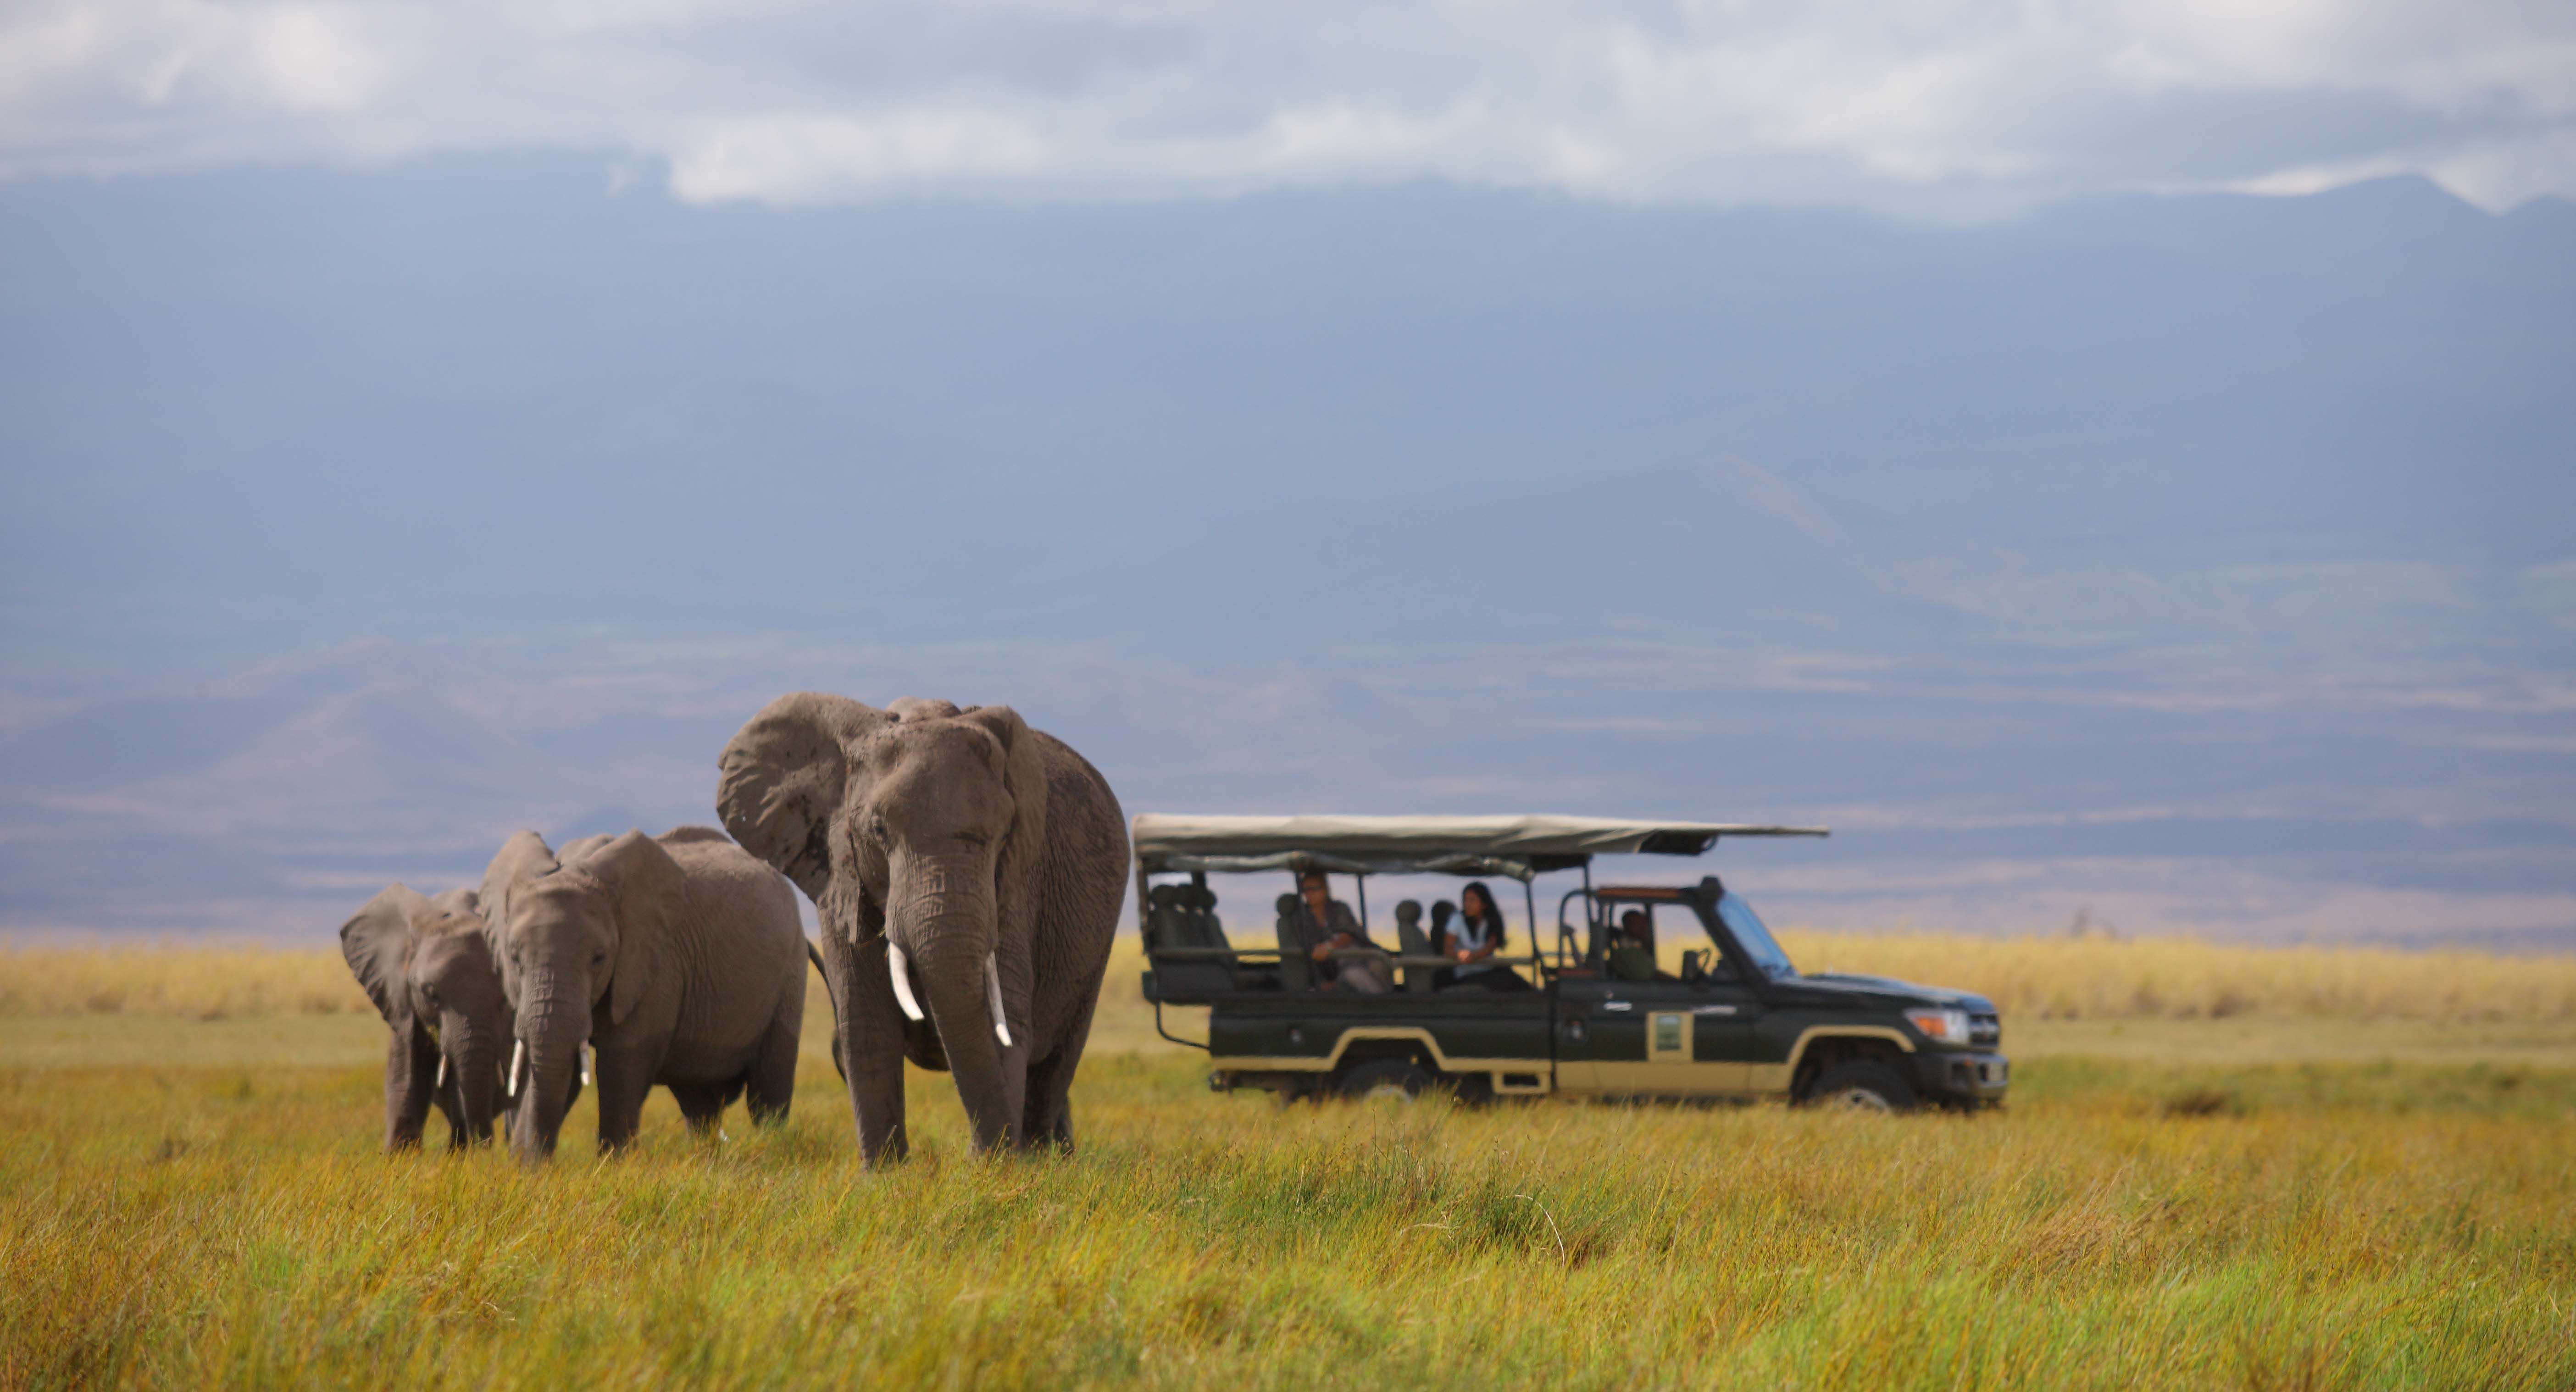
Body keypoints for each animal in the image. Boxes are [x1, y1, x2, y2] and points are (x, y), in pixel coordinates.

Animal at [479, 820, 804, 1160]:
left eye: (599, 959)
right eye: (514, 958)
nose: (527, 1159)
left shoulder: (656, 964)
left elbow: (621, 1063)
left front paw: (613, 1164)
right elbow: (560, 1065)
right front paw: (528, 1166)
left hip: (791, 973)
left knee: (768, 1093)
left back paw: (771, 1147)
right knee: (699, 1105)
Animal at [726, 691, 1128, 1160]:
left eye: (1003, 833)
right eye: (878, 830)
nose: (984, 1153)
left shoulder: (1014, 887)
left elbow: (1004, 1018)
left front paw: (997, 1167)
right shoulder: (838, 872)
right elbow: (866, 1024)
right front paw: (886, 1172)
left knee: (1057, 1062)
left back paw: (1046, 1158)